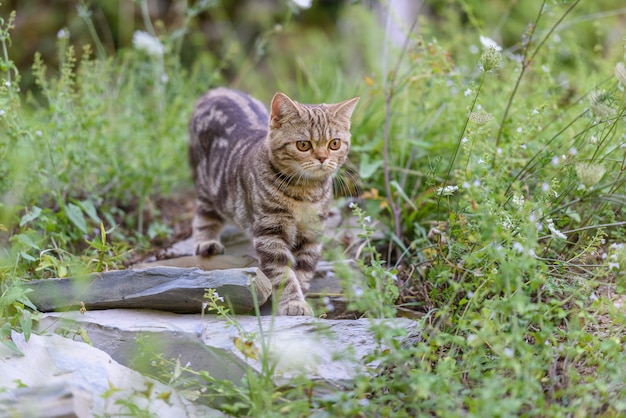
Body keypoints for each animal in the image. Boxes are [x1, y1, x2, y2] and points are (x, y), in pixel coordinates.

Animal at [188, 88, 358, 316]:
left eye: (334, 143)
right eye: (303, 145)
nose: (322, 158)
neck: (305, 192)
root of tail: (217, 91)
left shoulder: (313, 233)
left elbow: (302, 272)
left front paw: (299, 298)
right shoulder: (270, 231)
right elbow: (283, 274)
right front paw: (293, 302)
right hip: (209, 186)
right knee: (204, 217)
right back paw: (207, 242)